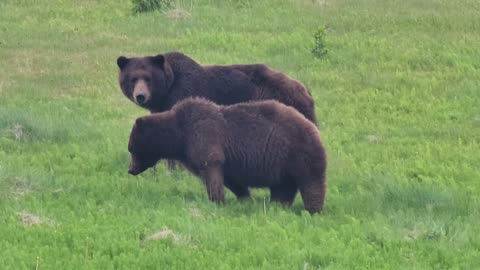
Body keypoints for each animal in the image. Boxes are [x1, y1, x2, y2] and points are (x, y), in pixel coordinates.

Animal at [127, 97, 326, 213]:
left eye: (131, 148)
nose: (130, 169)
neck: (180, 136)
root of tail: (312, 125)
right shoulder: (226, 160)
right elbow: (231, 180)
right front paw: (245, 198)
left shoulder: (204, 136)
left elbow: (211, 169)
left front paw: (216, 201)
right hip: (282, 164)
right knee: (283, 187)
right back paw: (277, 206)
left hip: (298, 152)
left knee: (311, 182)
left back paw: (312, 210)